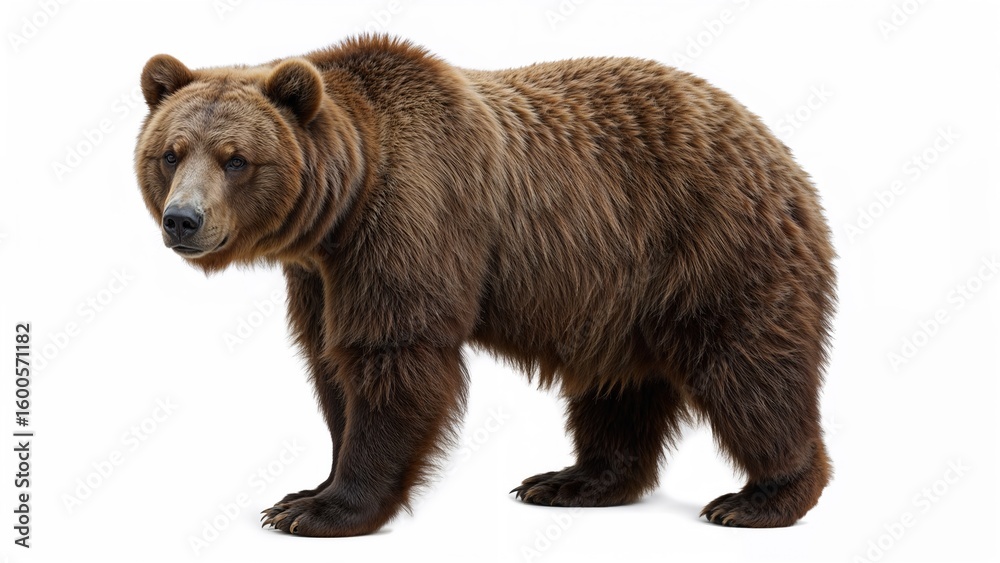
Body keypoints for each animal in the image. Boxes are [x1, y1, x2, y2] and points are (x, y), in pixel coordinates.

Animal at [135, 35, 835, 536]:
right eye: (171, 152)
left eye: (236, 159)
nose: (183, 219)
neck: (343, 206)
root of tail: (774, 144)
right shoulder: (318, 275)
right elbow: (331, 366)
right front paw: (302, 491)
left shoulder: (410, 220)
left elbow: (394, 357)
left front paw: (325, 511)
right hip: (621, 292)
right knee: (617, 385)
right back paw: (572, 481)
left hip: (713, 244)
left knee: (750, 368)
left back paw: (760, 498)